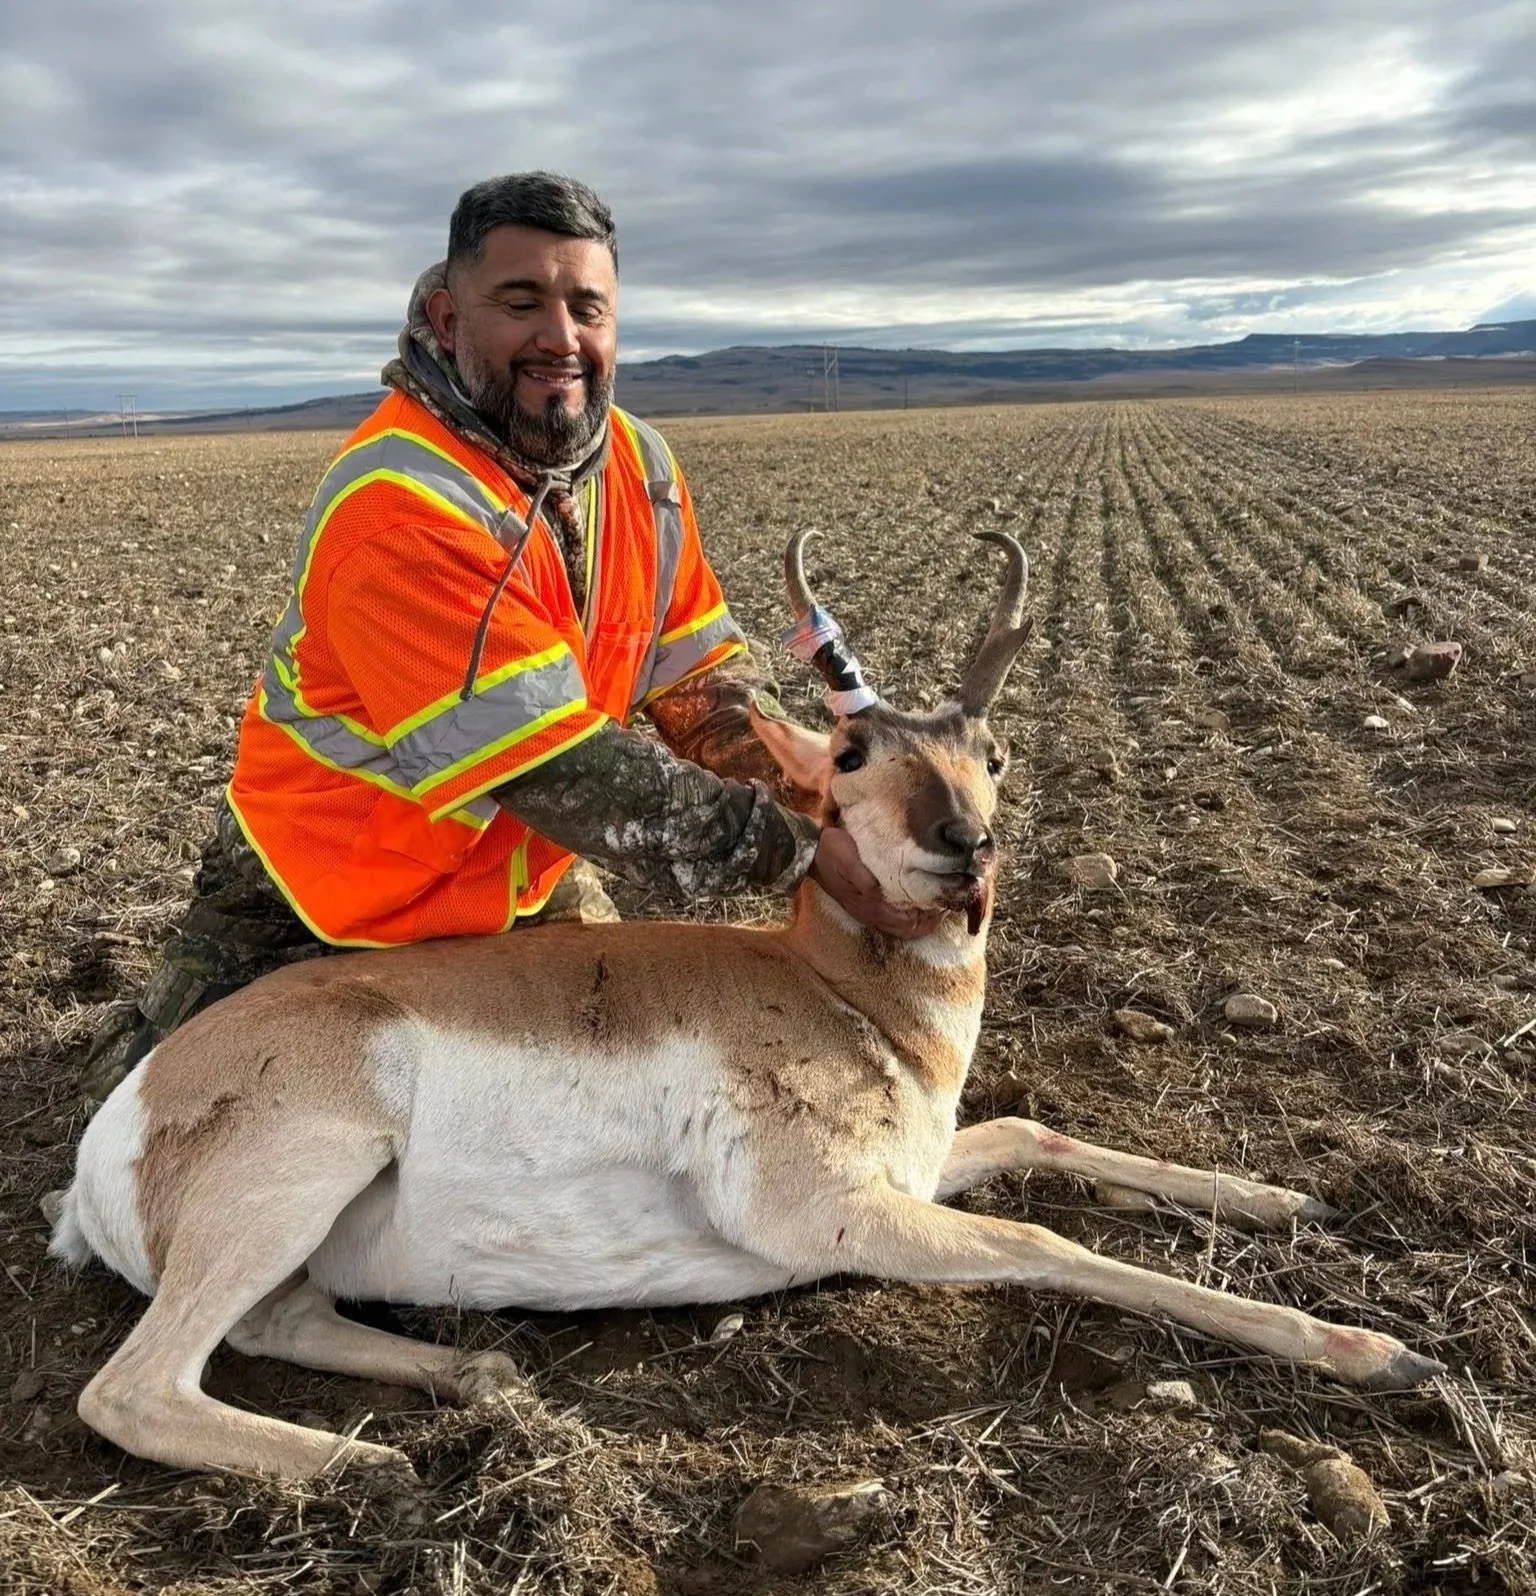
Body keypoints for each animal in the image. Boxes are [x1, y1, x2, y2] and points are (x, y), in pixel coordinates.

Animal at [52, 531, 1442, 1483]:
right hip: (302, 1173)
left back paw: (476, 1374)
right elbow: (1056, 1245)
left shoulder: (921, 1163)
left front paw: (1283, 1199)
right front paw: (1375, 1350)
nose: (964, 848)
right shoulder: (838, 1212)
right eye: (850, 757)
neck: (833, 993)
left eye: (992, 755)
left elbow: (1036, 1133)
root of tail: (127, 1113)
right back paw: (374, 1466)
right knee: (133, 1391)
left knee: (282, 1320)